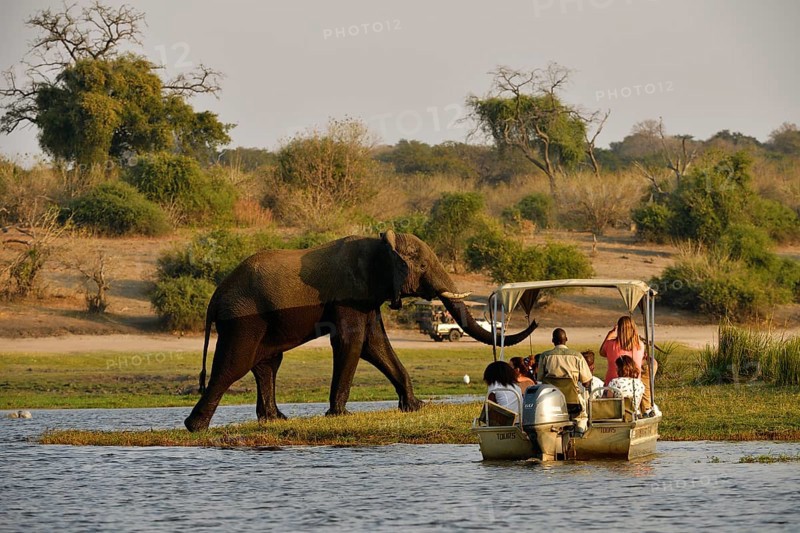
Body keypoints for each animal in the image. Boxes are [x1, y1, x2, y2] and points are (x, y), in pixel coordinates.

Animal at [184, 230, 538, 432]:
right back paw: (195, 427)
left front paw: (415, 407)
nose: (534, 321)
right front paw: (338, 415)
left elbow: (373, 344)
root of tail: (215, 297)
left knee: (267, 364)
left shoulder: (368, 296)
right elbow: (352, 342)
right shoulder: (350, 295)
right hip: (244, 320)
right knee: (234, 365)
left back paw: (275, 420)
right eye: (423, 267)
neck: (382, 245)